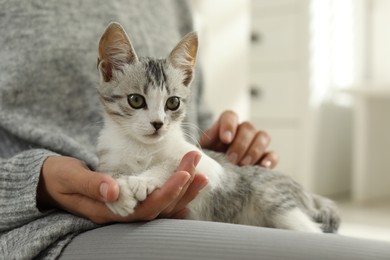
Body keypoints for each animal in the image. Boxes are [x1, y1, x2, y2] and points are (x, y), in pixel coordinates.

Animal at [96, 22, 340, 234]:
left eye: (173, 102)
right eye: (136, 100)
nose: (158, 124)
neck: (142, 148)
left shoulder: (209, 166)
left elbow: (172, 162)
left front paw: (143, 180)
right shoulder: (110, 157)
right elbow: (109, 173)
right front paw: (118, 192)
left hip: (277, 203)